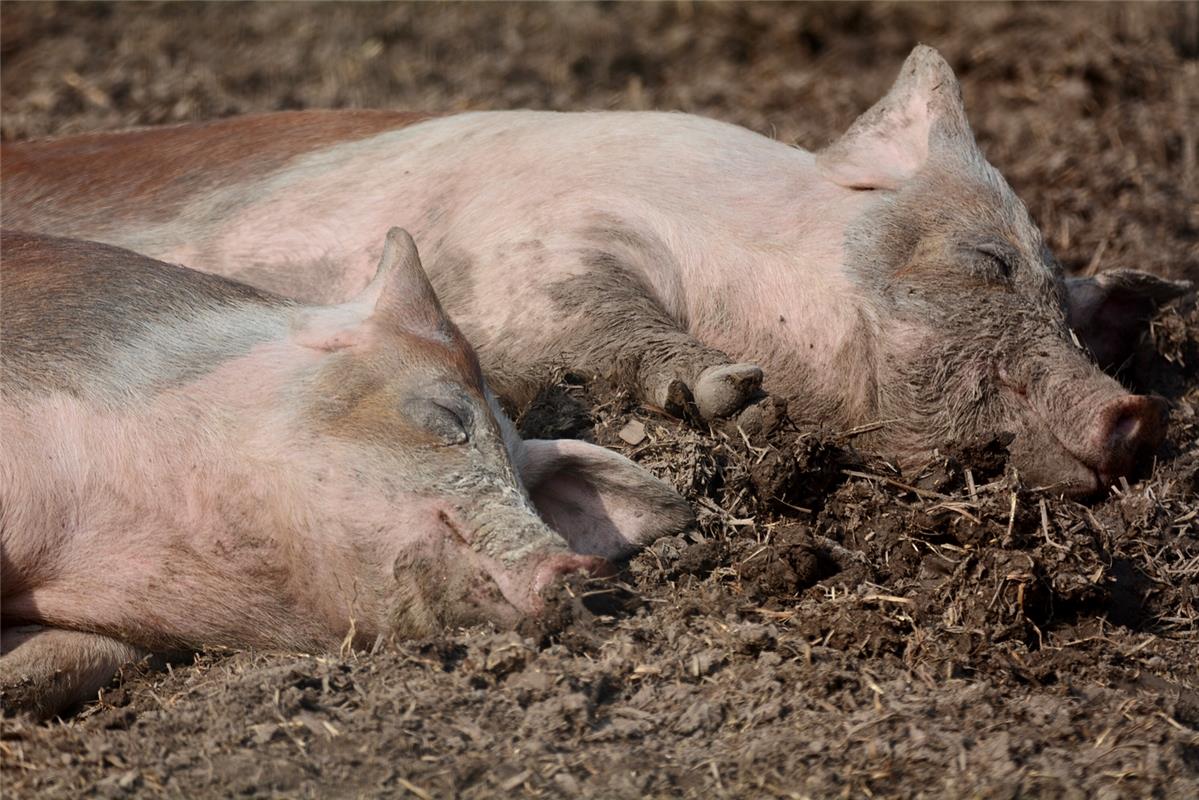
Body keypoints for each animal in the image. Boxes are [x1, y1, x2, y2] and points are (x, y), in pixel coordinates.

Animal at [0, 45, 1189, 494]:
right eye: (985, 259)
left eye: (1073, 317)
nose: (1136, 412)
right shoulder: (532, 245)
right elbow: (594, 309)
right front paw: (730, 394)